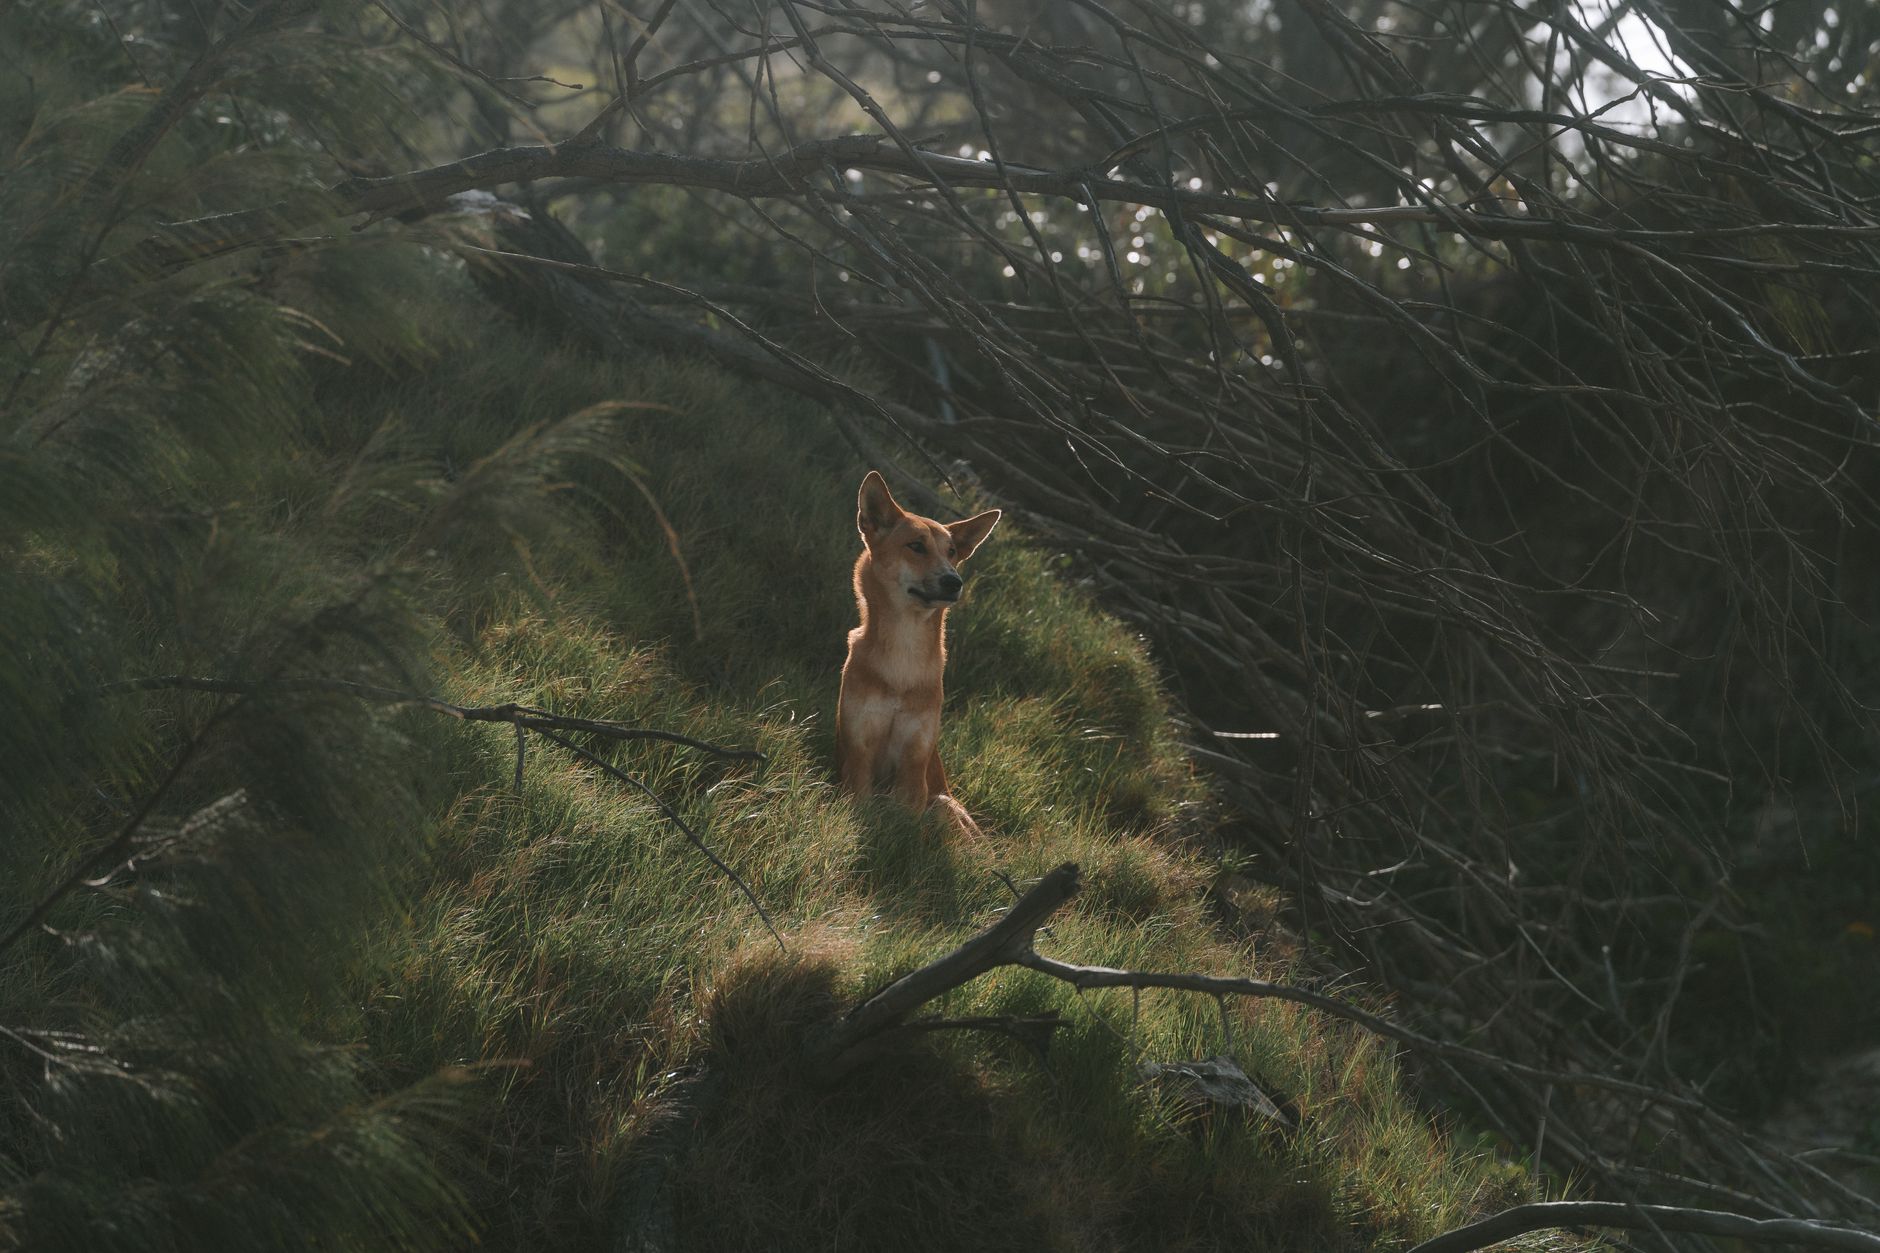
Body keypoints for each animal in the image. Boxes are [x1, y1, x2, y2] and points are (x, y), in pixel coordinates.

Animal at [836, 470, 1001, 839]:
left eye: (952, 552)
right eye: (916, 546)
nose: (954, 581)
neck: (903, 657)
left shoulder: (915, 758)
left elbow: (905, 820)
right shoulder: (859, 749)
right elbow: (859, 802)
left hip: (943, 805)